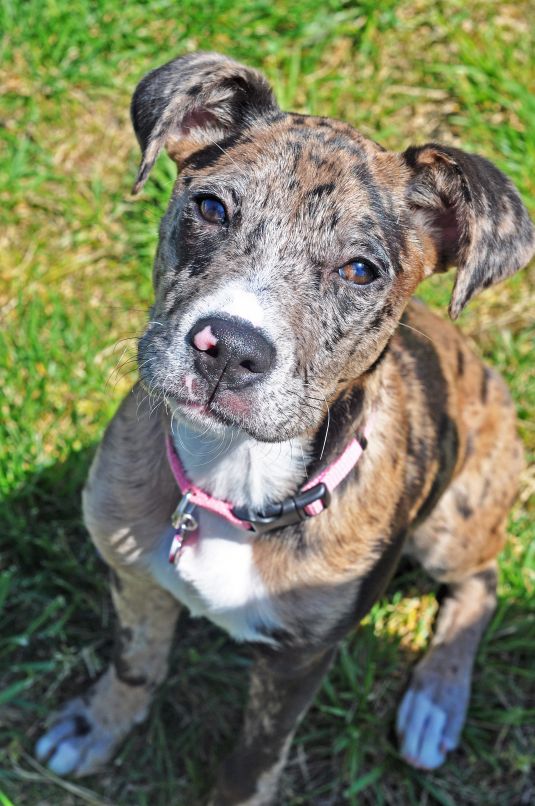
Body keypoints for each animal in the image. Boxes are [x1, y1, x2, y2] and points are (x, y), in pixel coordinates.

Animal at [35, 53, 532, 804]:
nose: (230, 349)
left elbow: (256, 756)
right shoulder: (135, 573)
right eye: (211, 208)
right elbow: (136, 661)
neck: (233, 478)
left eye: (360, 270)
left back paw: (435, 701)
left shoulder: (302, 657)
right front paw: (97, 725)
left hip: (455, 519)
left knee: (482, 580)